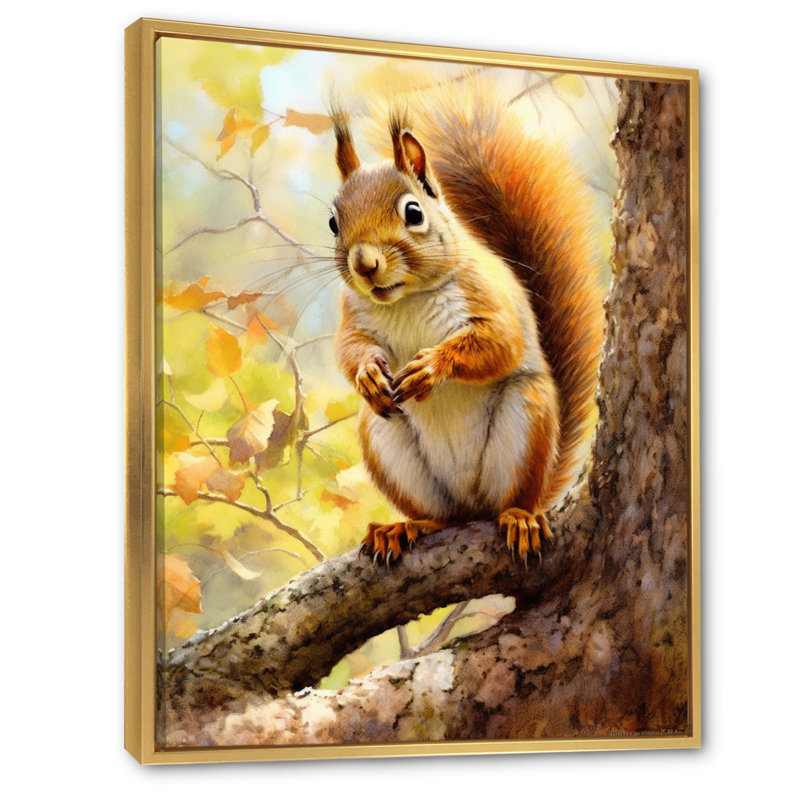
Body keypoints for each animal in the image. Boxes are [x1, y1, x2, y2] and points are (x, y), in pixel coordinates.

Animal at [328, 80, 604, 566]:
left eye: (414, 213)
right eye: (332, 223)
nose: (364, 264)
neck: (405, 299)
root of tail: (470, 509)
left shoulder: (485, 293)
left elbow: (500, 343)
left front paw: (430, 367)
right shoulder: (353, 316)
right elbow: (349, 349)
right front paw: (367, 375)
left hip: (526, 419)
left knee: (509, 501)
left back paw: (519, 519)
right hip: (385, 439)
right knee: (439, 515)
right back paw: (406, 527)